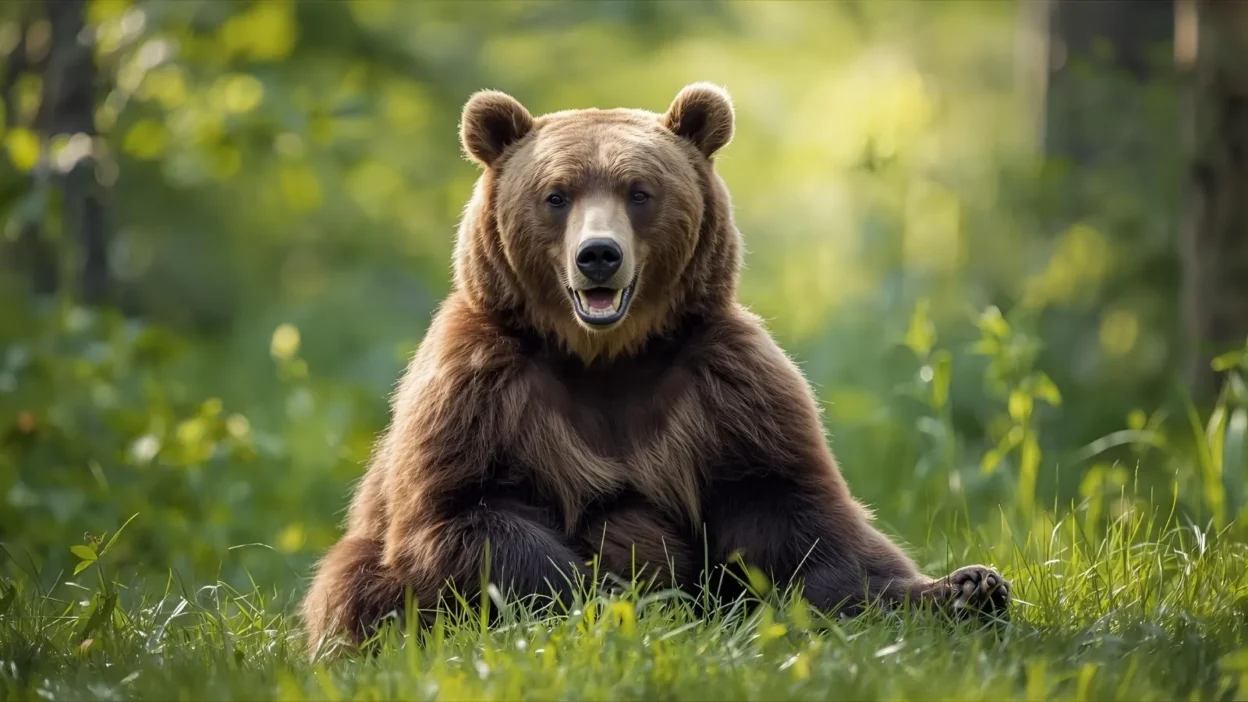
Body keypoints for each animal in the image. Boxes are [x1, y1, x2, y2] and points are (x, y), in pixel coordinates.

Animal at [300, 83, 1010, 656]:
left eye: (640, 192)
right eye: (556, 195)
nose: (598, 255)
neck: (606, 357)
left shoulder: (730, 388)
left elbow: (794, 515)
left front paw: (961, 586)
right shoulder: (480, 387)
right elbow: (464, 512)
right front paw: (607, 604)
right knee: (355, 584)